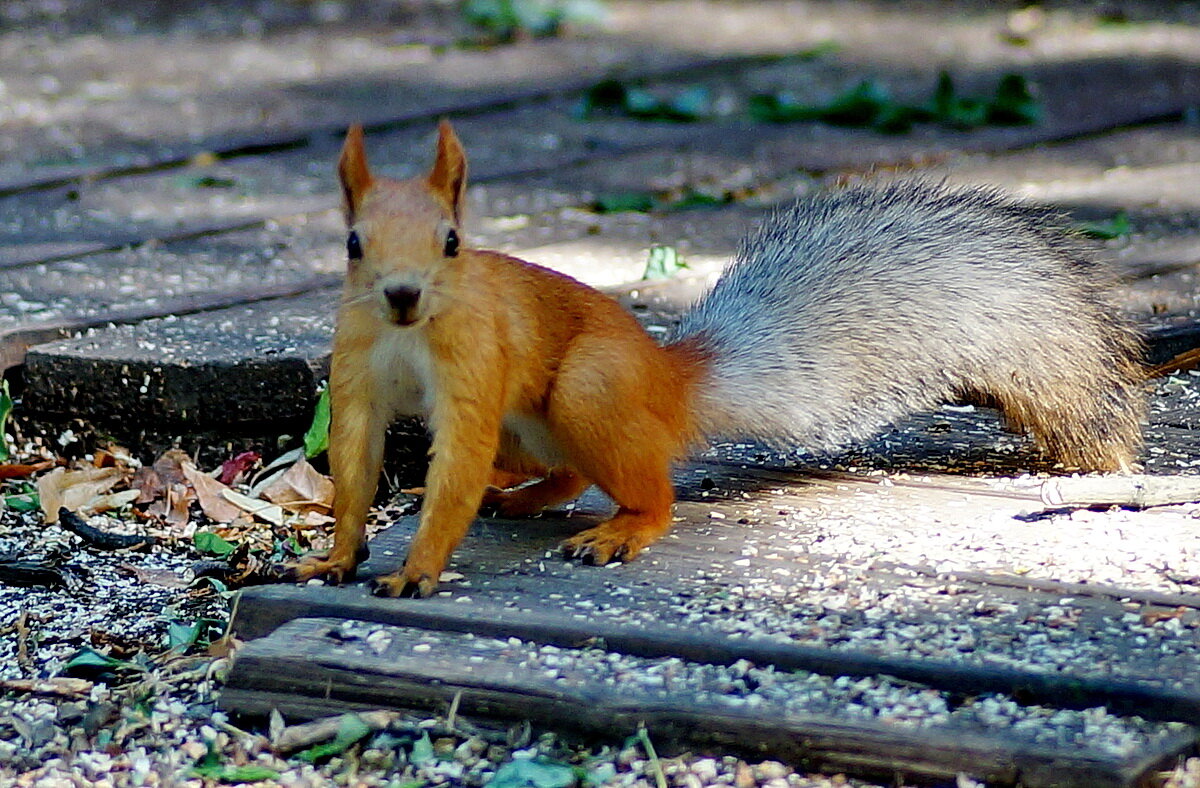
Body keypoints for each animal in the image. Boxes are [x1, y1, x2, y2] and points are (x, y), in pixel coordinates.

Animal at [285, 119, 1147, 597]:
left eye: (452, 242)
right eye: (352, 243)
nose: (402, 295)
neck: (407, 334)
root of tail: (669, 383)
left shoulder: (474, 371)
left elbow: (455, 467)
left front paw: (418, 567)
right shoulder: (356, 378)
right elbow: (355, 465)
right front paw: (337, 557)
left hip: (587, 390)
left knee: (649, 491)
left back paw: (619, 530)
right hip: (536, 425)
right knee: (564, 472)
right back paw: (522, 495)